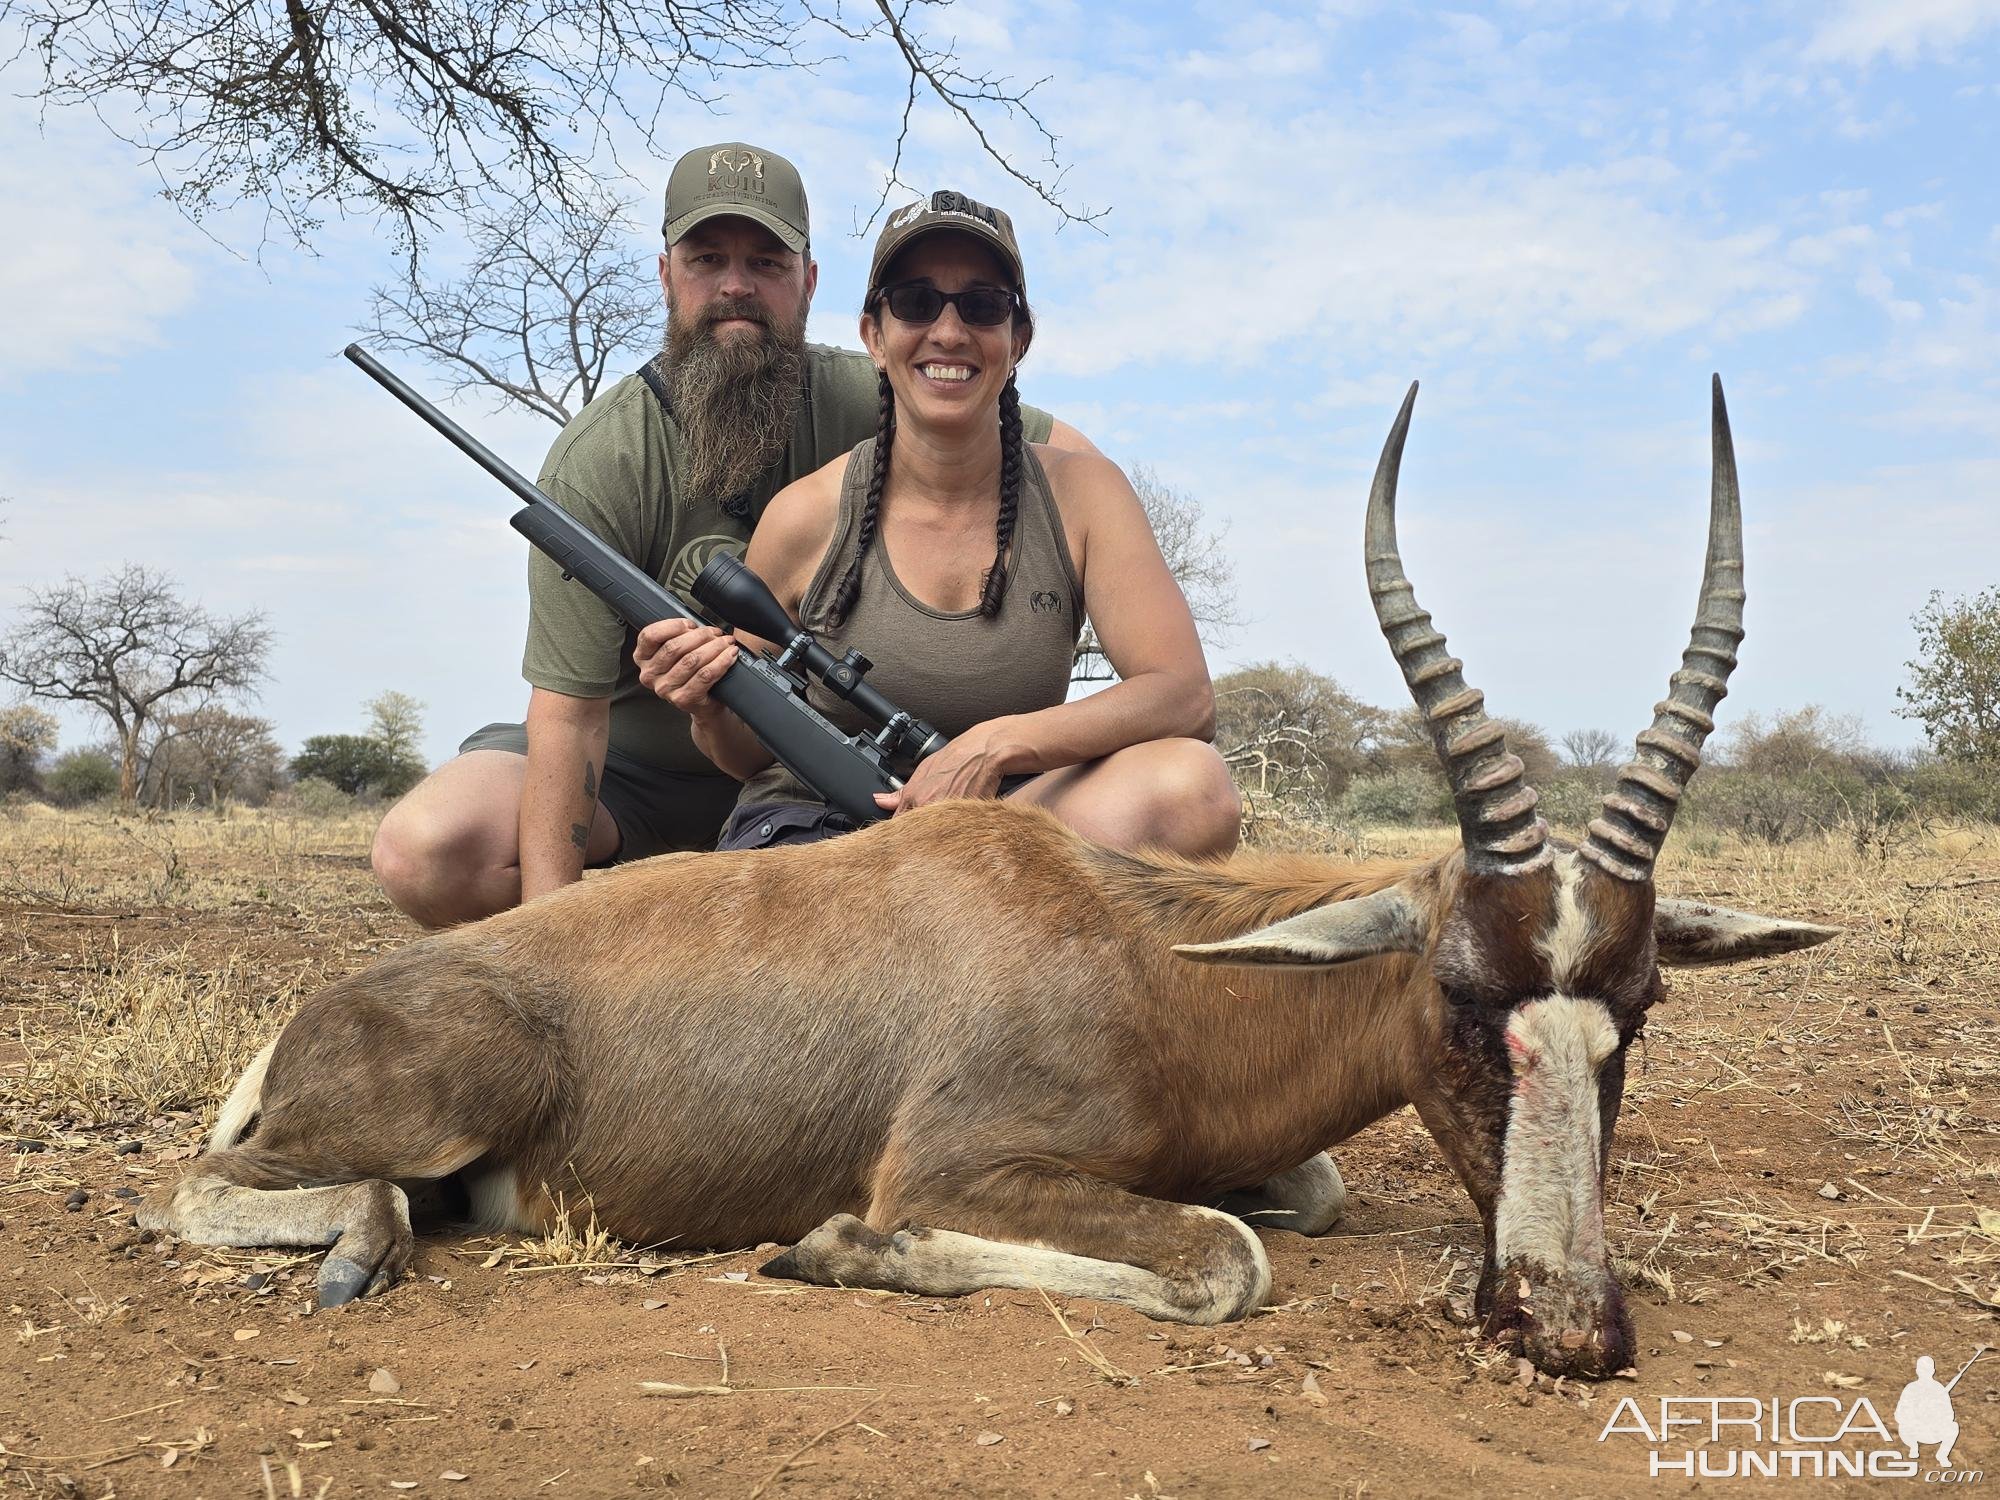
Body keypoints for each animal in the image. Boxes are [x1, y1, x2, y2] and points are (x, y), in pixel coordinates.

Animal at [137, 382, 1832, 1384]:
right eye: (1469, 998)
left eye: (1639, 1006)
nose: (1572, 1324)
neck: (1133, 951)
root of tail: (310, 1021)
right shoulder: (961, 1167)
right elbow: (1225, 1261)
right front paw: (829, 1250)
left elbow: (1302, 1200)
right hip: (427, 1108)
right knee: (221, 1187)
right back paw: (362, 1247)